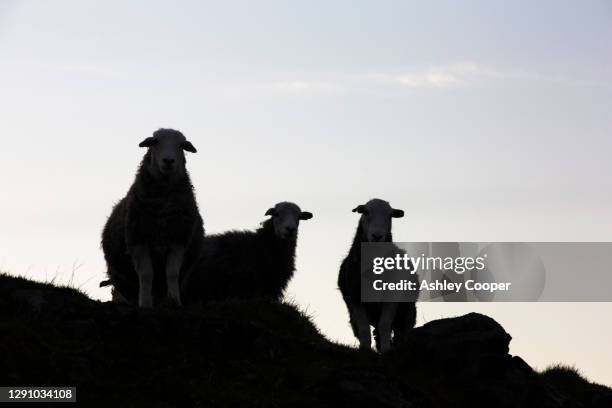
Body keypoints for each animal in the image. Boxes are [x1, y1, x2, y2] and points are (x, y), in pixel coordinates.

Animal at [100, 129, 204, 308]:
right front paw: (145, 304)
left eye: (181, 145)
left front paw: (174, 301)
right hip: (121, 275)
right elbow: (146, 275)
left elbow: (172, 274)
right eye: (155, 142)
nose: (168, 161)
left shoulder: (178, 241)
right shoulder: (138, 241)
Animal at [338, 199, 418, 352]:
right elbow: (364, 329)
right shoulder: (355, 298)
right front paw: (365, 350)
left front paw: (387, 350)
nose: (377, 236)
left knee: (401, 330)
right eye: (366, 212)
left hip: (407, 310)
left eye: (390, 215)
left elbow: (385, 325)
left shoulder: (391, 297)